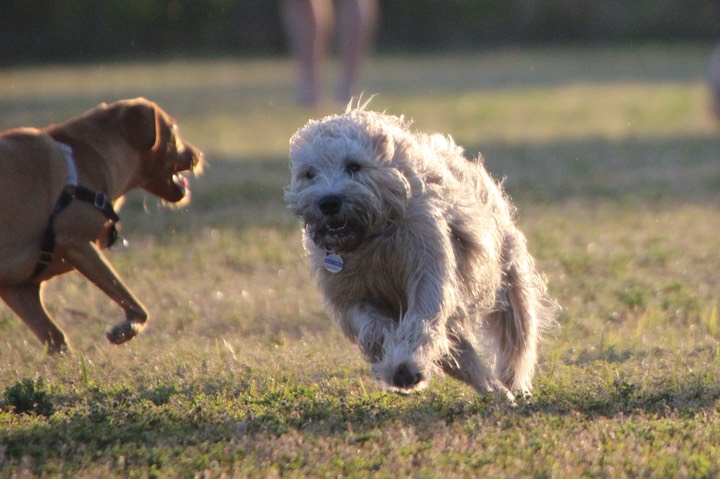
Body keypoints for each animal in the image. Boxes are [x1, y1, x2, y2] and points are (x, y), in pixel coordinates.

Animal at [0, 98, 202, 352]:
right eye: (174, 130)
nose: (198, 154)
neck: (88, 158)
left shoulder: (19, 288)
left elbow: (56, 338)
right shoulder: (76, 243)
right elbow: (134, 304)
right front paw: (125, 329)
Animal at [284, 106, 556, 402]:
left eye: (354, 166)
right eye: (309, 174)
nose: (329, 202)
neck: (375, 234)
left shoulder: (428, 269)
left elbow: (421, 319)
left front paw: (406, 365)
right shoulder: (350, 294)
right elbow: (371, 326)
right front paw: (392, 354)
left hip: (508, 276)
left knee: (517, 334)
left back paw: (512, 384)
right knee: (460, 356)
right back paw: (494, 389)